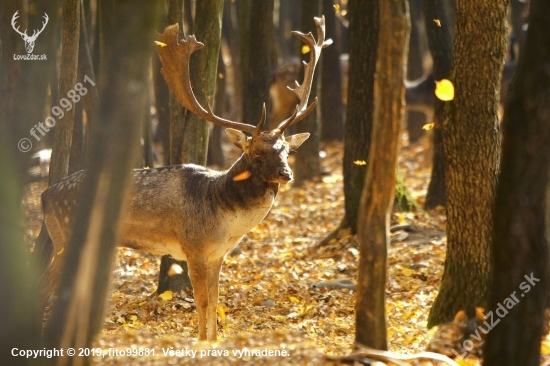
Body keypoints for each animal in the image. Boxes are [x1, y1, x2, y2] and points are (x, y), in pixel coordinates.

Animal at [43, 16, 332, 340]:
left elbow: (216, 300)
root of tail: (45, 195)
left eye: (286, 150)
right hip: (65, 235)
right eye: (257, 153)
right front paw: (202, 342)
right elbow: (202, 302)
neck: (224, 219)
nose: (286, 174)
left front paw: (214, 341)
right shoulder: (194, 248)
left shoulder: (218, 255)